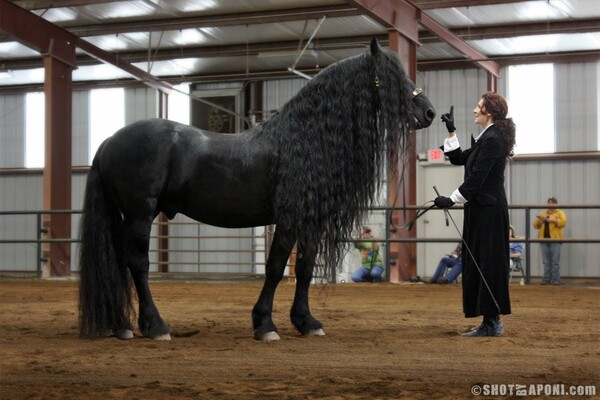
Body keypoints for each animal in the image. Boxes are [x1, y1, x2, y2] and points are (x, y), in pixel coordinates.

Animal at [79, 39, 436, 340]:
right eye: (389, 77)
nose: (429, 112)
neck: (303, 140)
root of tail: (109, 141)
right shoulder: (289, 219)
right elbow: (276, 268)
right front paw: (265, 325)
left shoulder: (311, 222)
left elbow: (305, 268)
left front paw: (307, 322)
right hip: (140, 213)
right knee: (137, 264)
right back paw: (156, 327)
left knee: (119, 263)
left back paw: (123, 327)